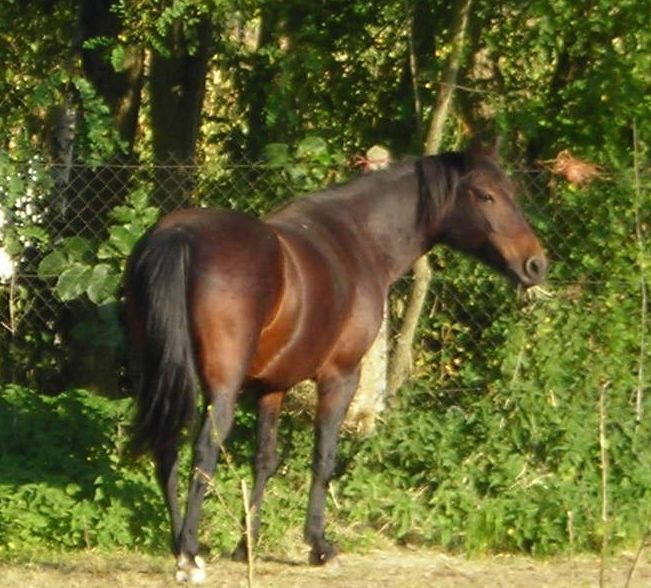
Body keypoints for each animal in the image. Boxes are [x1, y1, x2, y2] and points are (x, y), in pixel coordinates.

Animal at [125, 138, 547, 583]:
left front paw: (247, 545)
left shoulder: (272, 387)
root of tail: (178, 235)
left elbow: (264, 459)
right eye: (485, 195)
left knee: (166, 450)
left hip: (160, 378)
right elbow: (323, 456)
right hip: (220, 387)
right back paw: (189, 555)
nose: (536, 264)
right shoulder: (341, 377)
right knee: (204, 451)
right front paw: (319, 545)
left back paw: (179, 546)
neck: (358, 239)